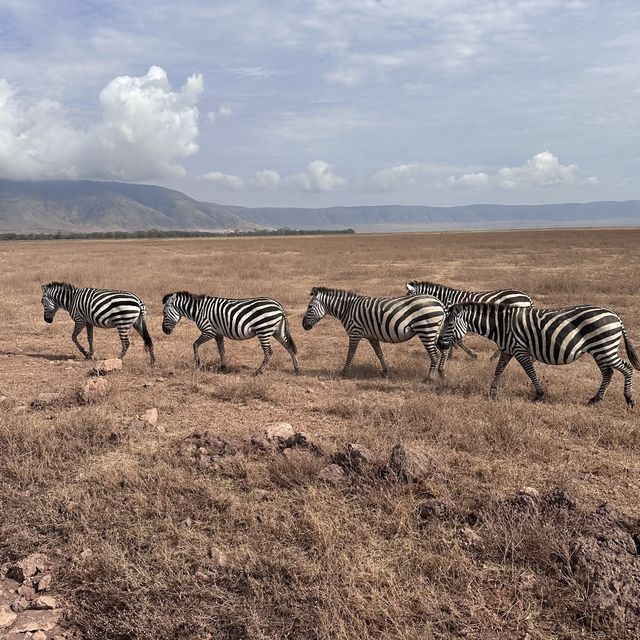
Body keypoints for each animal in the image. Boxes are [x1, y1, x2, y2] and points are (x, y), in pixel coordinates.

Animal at [161, 292, 298, 376]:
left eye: (164, 313)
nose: (164, 331)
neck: (198, 310)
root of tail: (279, 305)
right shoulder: (218, 333)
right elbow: (221, 350)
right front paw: (223, 367)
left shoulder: (209, 331)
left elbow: (195, 344)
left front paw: (197, 364)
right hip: (278, 331)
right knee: (290, 348)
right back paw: (297, 370)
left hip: (263, 330)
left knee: (269, 352)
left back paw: (258, 372)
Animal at [302, 286, 444, 380]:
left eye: (309, 307)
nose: (303, 326)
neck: (347, 309)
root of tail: (439, 302)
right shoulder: (372, 336)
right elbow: (379, 353)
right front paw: (385, 371)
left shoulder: (355, 333)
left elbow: (350, 353)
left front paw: (344, 372)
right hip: (434, 331)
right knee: (443, 351)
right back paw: (441, 373)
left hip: (426, 330)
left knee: (434, 354)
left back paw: (429, 378)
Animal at [404, 282, 536, 368]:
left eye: (408, 297)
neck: (446, 299)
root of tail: (526, 296)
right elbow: (452, 338)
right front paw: (450, 354)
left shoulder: (455, 320)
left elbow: (457, 340)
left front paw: (472, 355)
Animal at [438, 304, 640, 404]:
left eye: (449, 324)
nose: (439, 344)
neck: (502, 325)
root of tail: (615, 316)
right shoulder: (507, 350)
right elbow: (498, 370)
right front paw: (492, 393)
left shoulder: (519, 349)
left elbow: (530, 371)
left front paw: (539, 394)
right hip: (600, 350)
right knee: (608, 372)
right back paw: (596, 399)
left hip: (604, 348)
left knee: (627, 368)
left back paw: (629, 399)